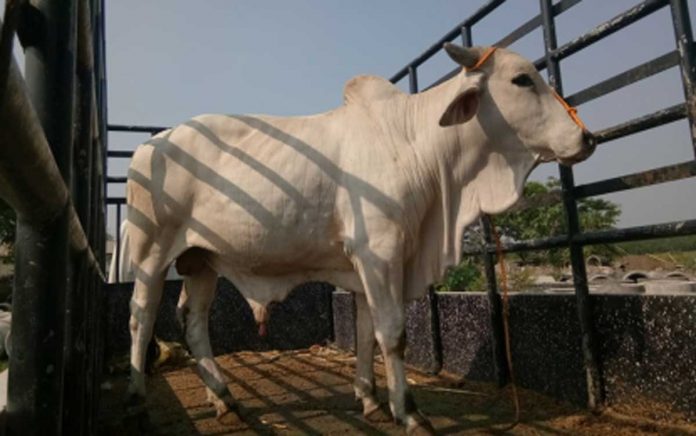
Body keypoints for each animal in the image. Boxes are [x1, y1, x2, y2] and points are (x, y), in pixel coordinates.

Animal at [123, 43, 595, 433]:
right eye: (521, 79)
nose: (587, 137)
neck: (419, 147)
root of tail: (151, 145)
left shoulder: (369, 266)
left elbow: (366, 331)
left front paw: (370, 399)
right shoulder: (380, 254)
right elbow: (393, 333)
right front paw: (409, 411)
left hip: (201, 259)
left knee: (192, 319)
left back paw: (223, 399)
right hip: (151, 252)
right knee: (141, 316)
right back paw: (138, 399)